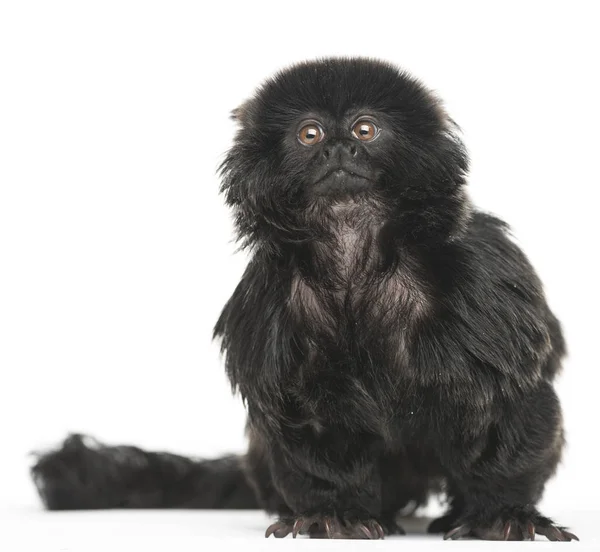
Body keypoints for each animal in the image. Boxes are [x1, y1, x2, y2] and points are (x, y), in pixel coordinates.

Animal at [30, 58, 580, 540]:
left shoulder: (483, 283)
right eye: (309, 134)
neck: (354, 250)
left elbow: (508, 408)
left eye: (364, 130)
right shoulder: (271, 305)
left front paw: (501, 512)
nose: (337, 148)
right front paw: (335, 513)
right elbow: (311, 427)